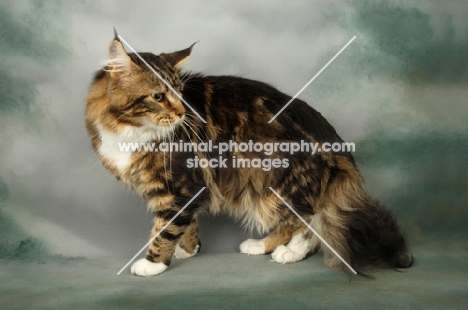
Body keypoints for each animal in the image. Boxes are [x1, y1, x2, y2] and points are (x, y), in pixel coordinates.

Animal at [86, 32, 412, 278]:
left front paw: (153, 263)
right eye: (158, 96)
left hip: (277, 186)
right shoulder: (188, 188)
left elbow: (164, 229)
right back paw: (265, 247)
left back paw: (286, 252)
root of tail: (336, 143)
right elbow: (186, 224)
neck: (129, 129)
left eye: (179, 94)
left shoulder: (179, 187)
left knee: (308, 221)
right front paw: (188, 250)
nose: (181, 113)